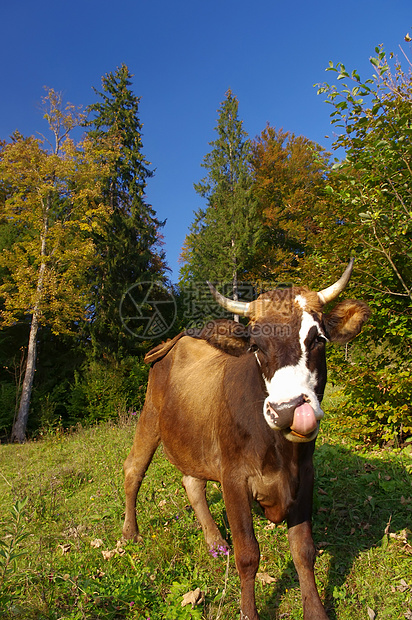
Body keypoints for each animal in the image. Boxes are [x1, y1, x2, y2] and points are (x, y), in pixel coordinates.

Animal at [122, 260, 370, 616]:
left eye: (318, 339)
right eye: (255, 346)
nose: (287, 410)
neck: (280, 452)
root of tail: (180, 338)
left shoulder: (305, 473)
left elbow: (303, 550)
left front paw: (315, 611)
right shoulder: (234, 477)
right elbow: (248, 555)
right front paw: (248, 612)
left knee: (192, 483)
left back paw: (215, 541)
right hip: (150, 415)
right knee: (134, 469)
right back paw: (130, 534)